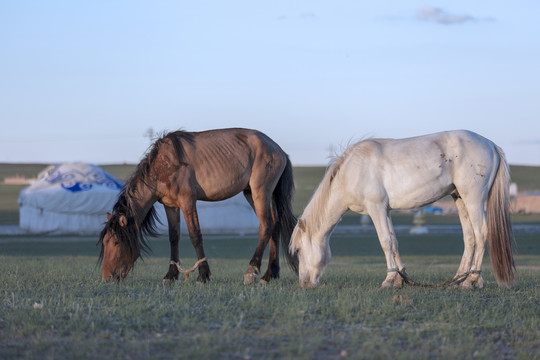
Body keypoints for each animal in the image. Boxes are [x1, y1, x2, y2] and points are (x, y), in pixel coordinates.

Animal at [97, 128, 300, 282]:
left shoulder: (187, 201)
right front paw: (171, 275)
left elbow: (195, 235)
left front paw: (203, 275)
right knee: (275, 225)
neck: (163, 165)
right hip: (251, 193)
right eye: (104, 242)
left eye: (116, 242)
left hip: (260, 192)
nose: (106, 277)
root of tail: (279, 150)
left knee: (266, 226)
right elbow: (174, 237)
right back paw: (269, 275)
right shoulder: (171, 206)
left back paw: (251, 271)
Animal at [292, 129, 516, 290]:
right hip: (460, 198)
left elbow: (385, 241)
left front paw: (389, 279)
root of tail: (491, 145)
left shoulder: (376, 209)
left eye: (298, 251)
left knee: (481, 234)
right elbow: (394, 242)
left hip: (474, 199)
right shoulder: (385, 210)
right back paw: (457, 280)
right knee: (469, 238)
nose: (304, 283)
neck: (353, 171)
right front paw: (401, 278)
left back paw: (471, 280)